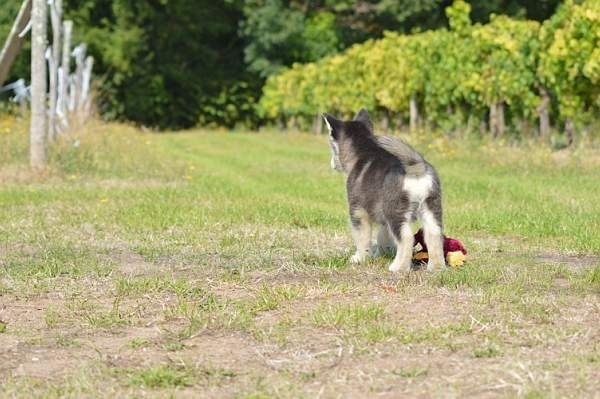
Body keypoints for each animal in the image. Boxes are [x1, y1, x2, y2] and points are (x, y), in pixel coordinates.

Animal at [324, 109, 446, 272]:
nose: (332, 164)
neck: (363, 151)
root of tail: (415, 169)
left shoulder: (358, 210)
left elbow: (362, 238)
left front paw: (360, 258)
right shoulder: (383, 219)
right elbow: (383, 237)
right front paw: (382, 253)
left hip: (395, 211)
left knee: (407, 237)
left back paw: (399, 267)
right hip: (431, 207)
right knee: (434, 234)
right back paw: (437, 267)